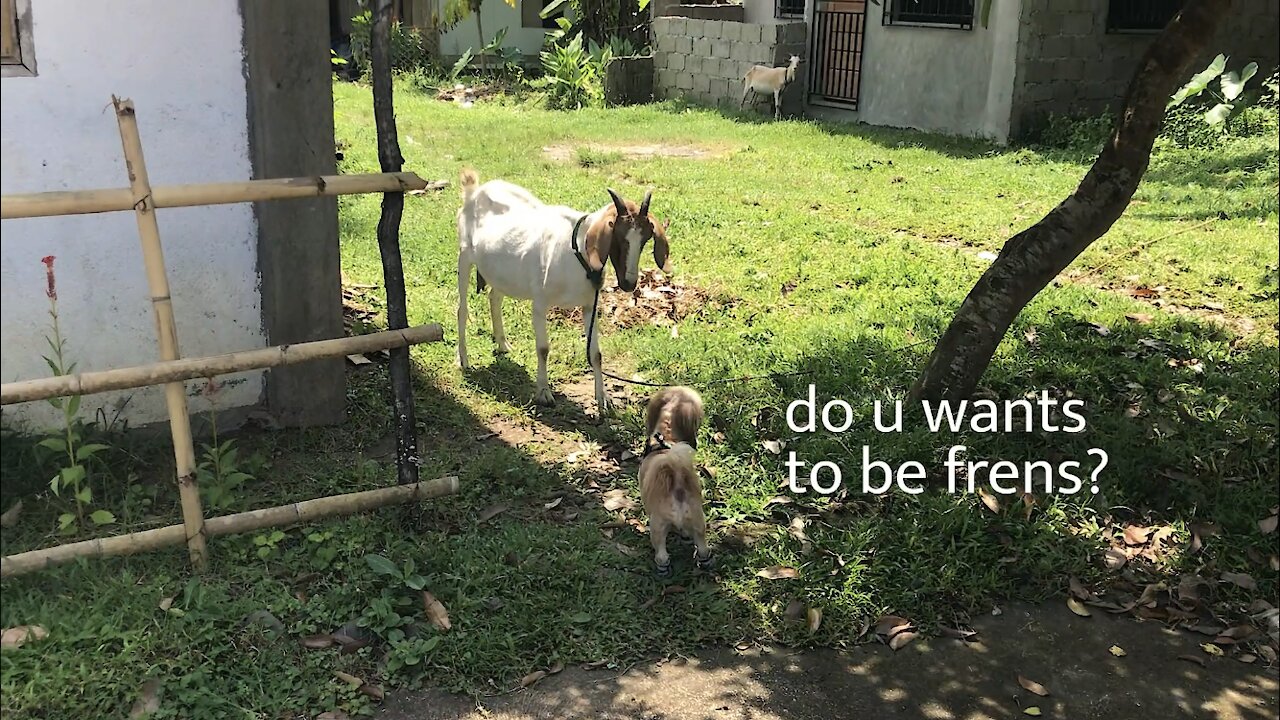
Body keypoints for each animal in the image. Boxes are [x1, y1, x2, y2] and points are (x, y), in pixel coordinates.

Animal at [637, 384, 716, 573]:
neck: (665, 440)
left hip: (658, 527)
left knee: (662, 555)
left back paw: (662, 569)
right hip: (698, 522)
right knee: (703, 548)